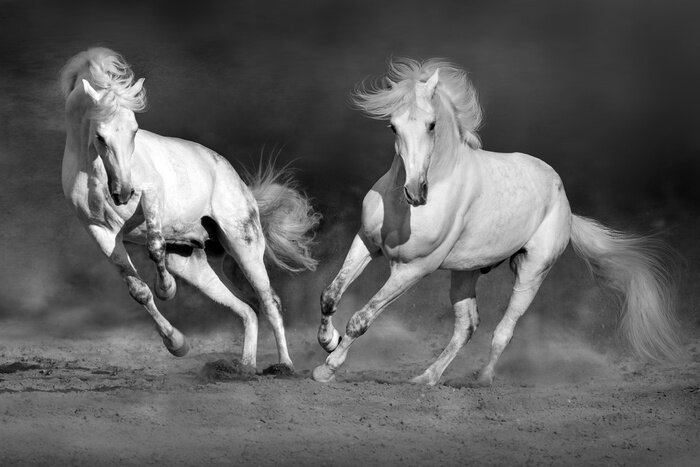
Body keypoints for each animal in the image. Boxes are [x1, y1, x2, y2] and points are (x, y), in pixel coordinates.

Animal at [60, 47, 320, 372]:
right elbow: (138, 290)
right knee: (247, 309)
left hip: (243, 245)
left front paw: (167, 290)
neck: (93, 171)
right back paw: (244, 367)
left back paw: (284, 365)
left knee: (269, 301)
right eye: (100, 136)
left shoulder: (151, 195)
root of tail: (239, 182)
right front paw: (177, 344)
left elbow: (155, 246)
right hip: (190, 262)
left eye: (134, 131)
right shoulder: (100, 232)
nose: (123, 193)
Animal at [313, 58, 682, 385]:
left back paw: (483, 379)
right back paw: (426, 378)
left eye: (432, 125)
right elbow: (330, 295)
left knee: (504, 329)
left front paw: (326, 369)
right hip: (465, 272)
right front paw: (328, 341)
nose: (416, 192)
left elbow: (362, 318)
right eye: (393, 126)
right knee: (467, 326)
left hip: (532, 271)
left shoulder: (413, 269)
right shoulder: (366, 242)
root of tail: (564, 201)